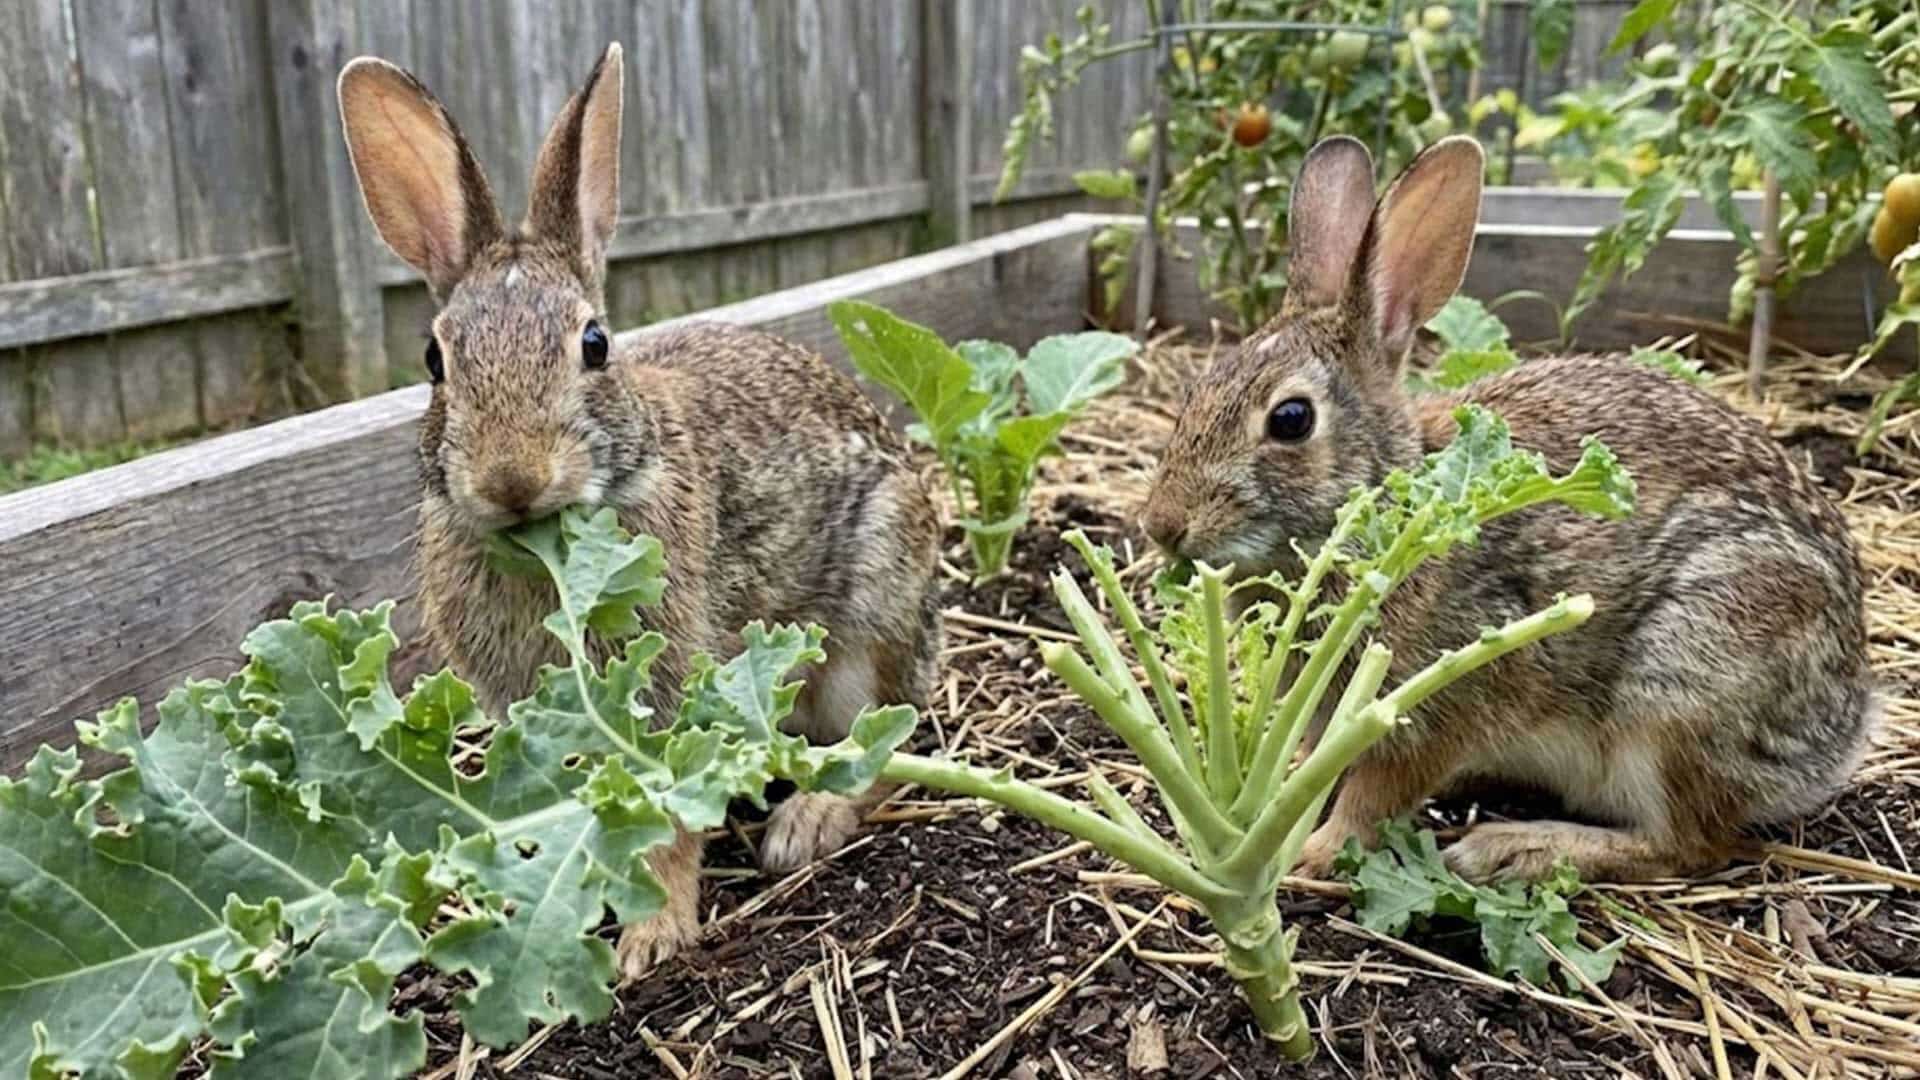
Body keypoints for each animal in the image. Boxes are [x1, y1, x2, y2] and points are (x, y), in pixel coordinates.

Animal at [337, 43, 942, 974]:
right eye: (435, 362)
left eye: (595, 344)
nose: (513, 478)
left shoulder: (667, 686)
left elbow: (663, 816)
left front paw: (652, 936)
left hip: (871, 614)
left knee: (887, 742)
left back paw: (804, 822)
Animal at [1141, 134, 1878, 885]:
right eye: (1196, 390)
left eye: (1290, 420)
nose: (1162, 525)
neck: (1388, 506)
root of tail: (1842, 728)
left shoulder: (1442, 699)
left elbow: (1378, 793)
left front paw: (1316, 852)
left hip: (1683, 683)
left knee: (1686, 844)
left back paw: (1515, 847)